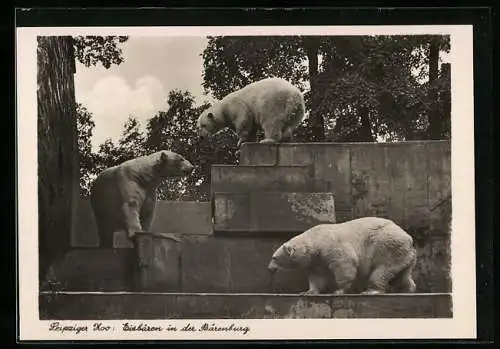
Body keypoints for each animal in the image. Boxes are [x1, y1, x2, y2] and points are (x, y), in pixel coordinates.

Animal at [268, 218, 416, 294]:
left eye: (274, 257)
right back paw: (408, 288)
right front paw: (309, 291)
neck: (316, 239)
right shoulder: (317, 260)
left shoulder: (331, 246)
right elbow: (317, 276)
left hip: (386, 246)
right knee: (402, 273)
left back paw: (371, 291)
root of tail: (409, 238)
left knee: (381, 270)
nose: (269, 268)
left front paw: (338, 290)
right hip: (403, 254)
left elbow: (344, 263)